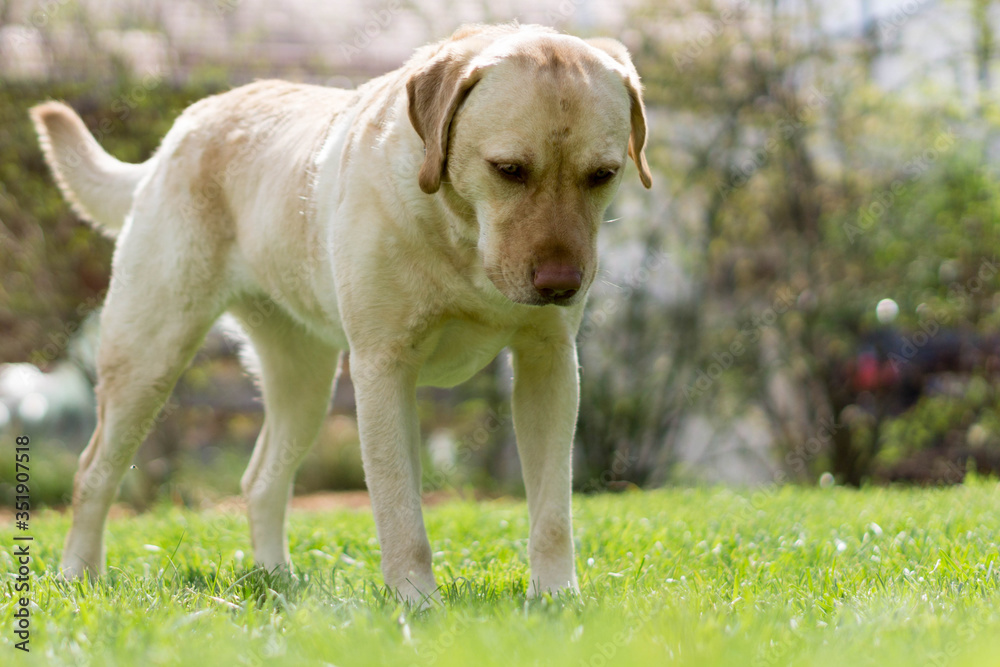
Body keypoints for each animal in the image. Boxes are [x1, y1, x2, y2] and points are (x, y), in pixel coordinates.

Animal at [31, 22, 651, 603]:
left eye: (603, 175)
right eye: (509, 169)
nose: (561, 285)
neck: (459, 236)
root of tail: (177, 134)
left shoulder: (549, 365)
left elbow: (552, 512)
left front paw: (556, 600)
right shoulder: (382, 368)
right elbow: (401, 514)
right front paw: (417, 605)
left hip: (304, 384)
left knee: (260, 480)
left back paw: (276, 581)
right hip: (147, 359)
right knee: (93, 473)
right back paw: (78, 576)